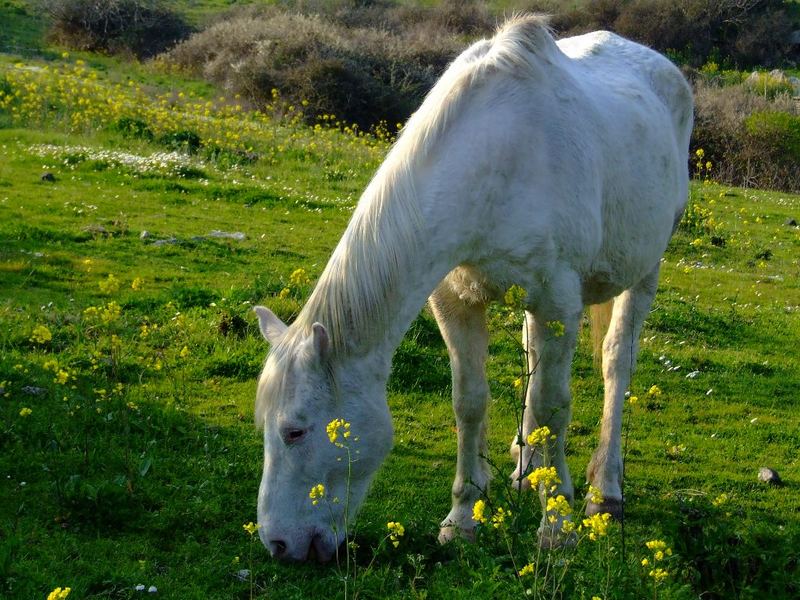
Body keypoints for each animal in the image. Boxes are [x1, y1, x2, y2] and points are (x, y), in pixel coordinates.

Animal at [253, 15, 692, 564]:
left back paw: (604, 490)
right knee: (531, 356)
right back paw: (526, 466)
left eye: (295, 430)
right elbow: (470, 400)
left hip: (645, 270)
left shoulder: (557, 301)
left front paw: (557, 528)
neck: (498, 158)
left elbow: (552, 406)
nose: (277, 543)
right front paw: (463, 518)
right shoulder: (455, 300)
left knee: (617, 363)